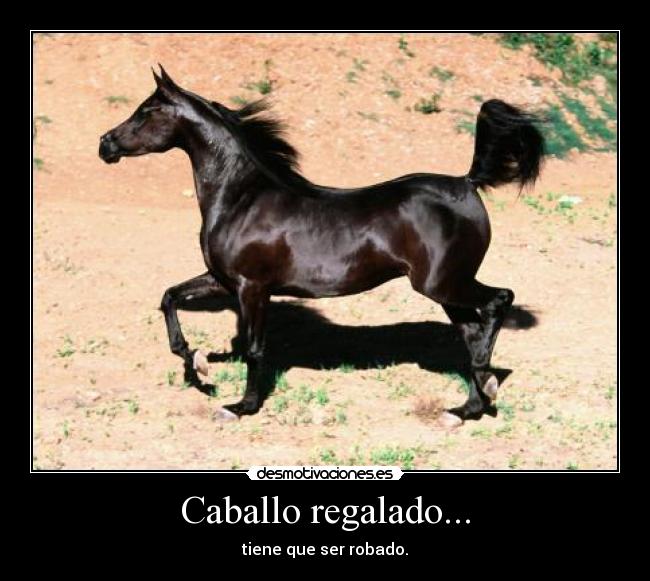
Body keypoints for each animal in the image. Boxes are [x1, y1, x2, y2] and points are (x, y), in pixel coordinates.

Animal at [99, 65, 544, 425]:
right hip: (446, 289)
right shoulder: (222, 279)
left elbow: (255, 349)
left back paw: (486, 384)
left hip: (443, 283)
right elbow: (170, 297)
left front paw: (241, 407)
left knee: (498, 302)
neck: (243, 198)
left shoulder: (252, 287)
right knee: (472, 331)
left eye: (146, 111)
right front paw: (198, 364)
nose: (106, 144)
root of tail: (467, 184)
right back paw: (466, 408)